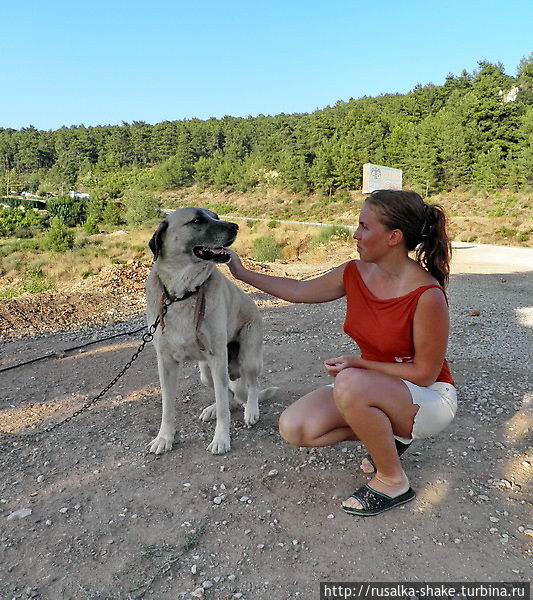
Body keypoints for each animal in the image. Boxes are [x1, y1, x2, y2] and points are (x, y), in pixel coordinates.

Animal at [144, 207, 274, 454]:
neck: (183, 293)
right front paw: (165, 438)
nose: (235, 226)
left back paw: (251, 410)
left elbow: (225, 409)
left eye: (216, 216)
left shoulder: (217, 356)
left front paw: (221, 439)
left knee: (251, 386)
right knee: (228, 392)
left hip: (247, 358)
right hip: (205, 372)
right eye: (197, 220)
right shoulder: (165, 362)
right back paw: (213, 408)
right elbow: (167, 407)